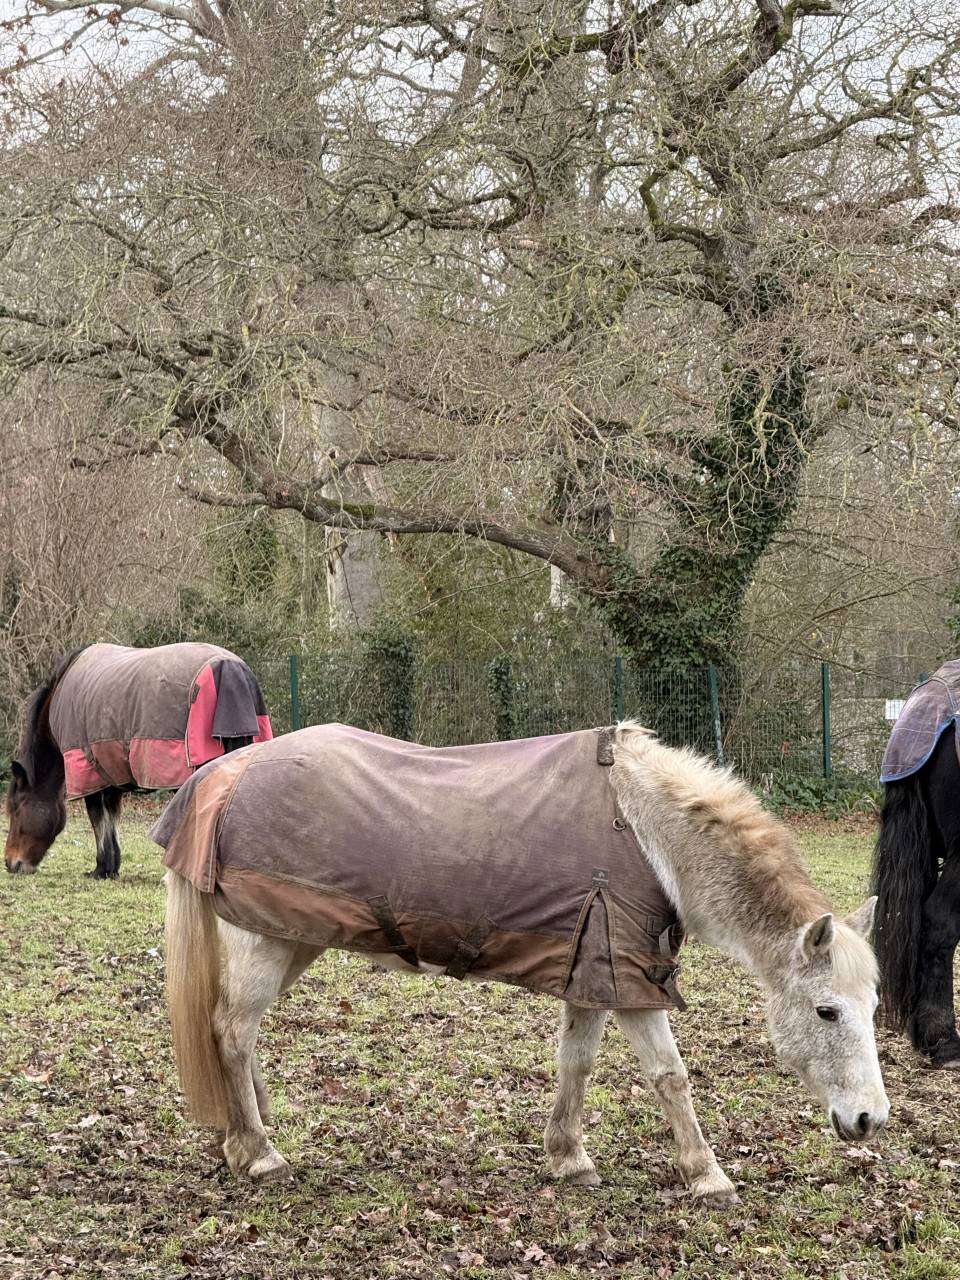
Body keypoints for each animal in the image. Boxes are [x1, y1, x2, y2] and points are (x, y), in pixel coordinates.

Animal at [4, 642, 272, 879]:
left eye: (15, 809)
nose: (10, 863)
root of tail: (229, 669)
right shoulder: (110, 773)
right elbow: (111, 817)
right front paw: (110, 867)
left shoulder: (88, 773)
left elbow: (96, 818)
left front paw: (100, 868)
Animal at [158, 721, 887, 1203]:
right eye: (827, 1011)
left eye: (875, 1007)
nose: (869, 1121)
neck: (648, 832)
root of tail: (223, 773)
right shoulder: (632, 982)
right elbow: (670, 1076)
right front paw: (706, 1174)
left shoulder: (595, 976)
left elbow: (577, 1064)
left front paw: (568, 1158)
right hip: (264, 942)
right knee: (232, 1033)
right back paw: (259, 1155)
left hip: (292, 935)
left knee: (240, 1037)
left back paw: (244, 1136)